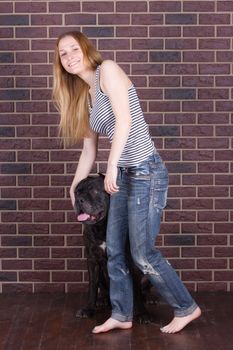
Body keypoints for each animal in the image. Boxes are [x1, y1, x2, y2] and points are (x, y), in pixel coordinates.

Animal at [75, 174, 155, 324]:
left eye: (94, 191)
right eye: (76, 192)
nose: (78, 200)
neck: (102, 226)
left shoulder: (131, 261)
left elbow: (136, 290)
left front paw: (142, 313)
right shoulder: (92, 260)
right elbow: (92, 287)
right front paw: (88, 309)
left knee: (144, 289)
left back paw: (150, 298)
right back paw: (103, 299)